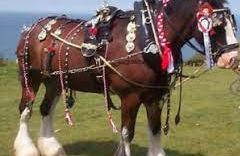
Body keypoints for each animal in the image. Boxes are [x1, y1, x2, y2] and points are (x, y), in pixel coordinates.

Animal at [13, 0, 238, 156]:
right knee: (25, 109)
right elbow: (127, 133)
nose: (233, 58)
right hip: (30, 77)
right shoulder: (130, 97)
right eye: (215, 26)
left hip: (54, 81)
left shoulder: (154, 97)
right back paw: (27, 149)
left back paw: (51, 147)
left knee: (45, 109)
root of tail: (30, 27)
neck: (148, 39)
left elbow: (155, 130)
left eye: (232, 23)